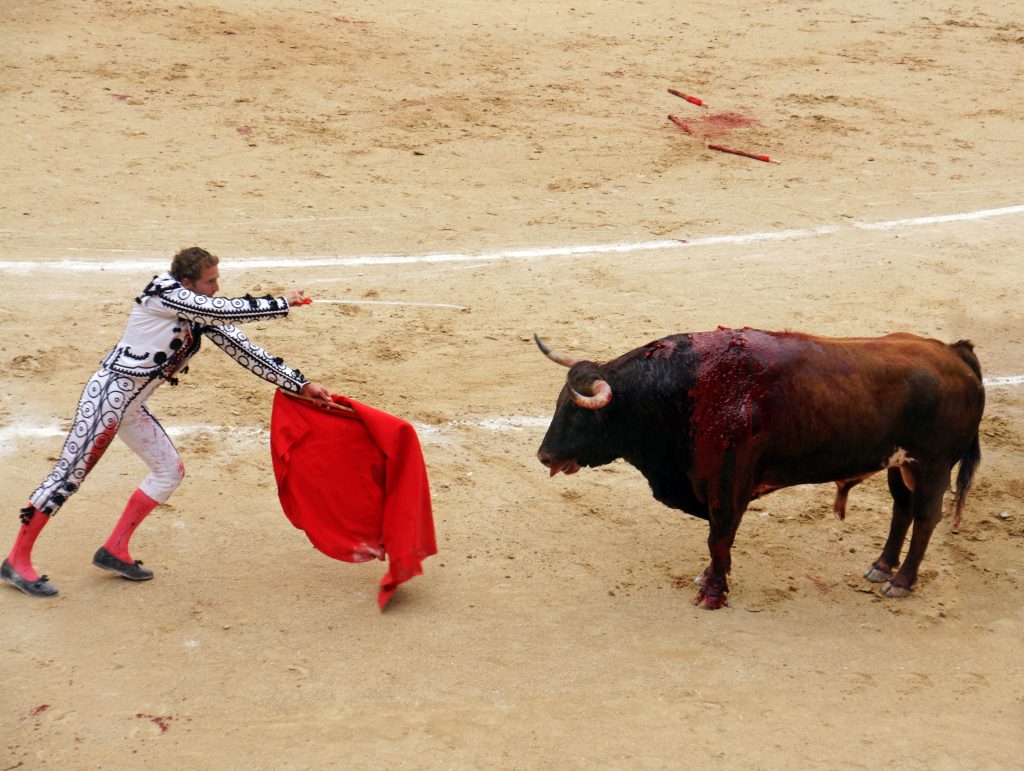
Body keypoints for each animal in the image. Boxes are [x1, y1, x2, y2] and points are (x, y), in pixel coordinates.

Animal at [536, 325, 983, 606]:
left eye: (577, 415)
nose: (544, 456)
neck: (684, 390)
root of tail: (954, 352)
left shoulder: (727, 485)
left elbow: (719, 536)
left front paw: (712, 593)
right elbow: (722, 539)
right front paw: (710, 578)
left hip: (934, 465)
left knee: (926, 517)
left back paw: (902, 582)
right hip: (899, 465)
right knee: (902, 509)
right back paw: (880, 568)